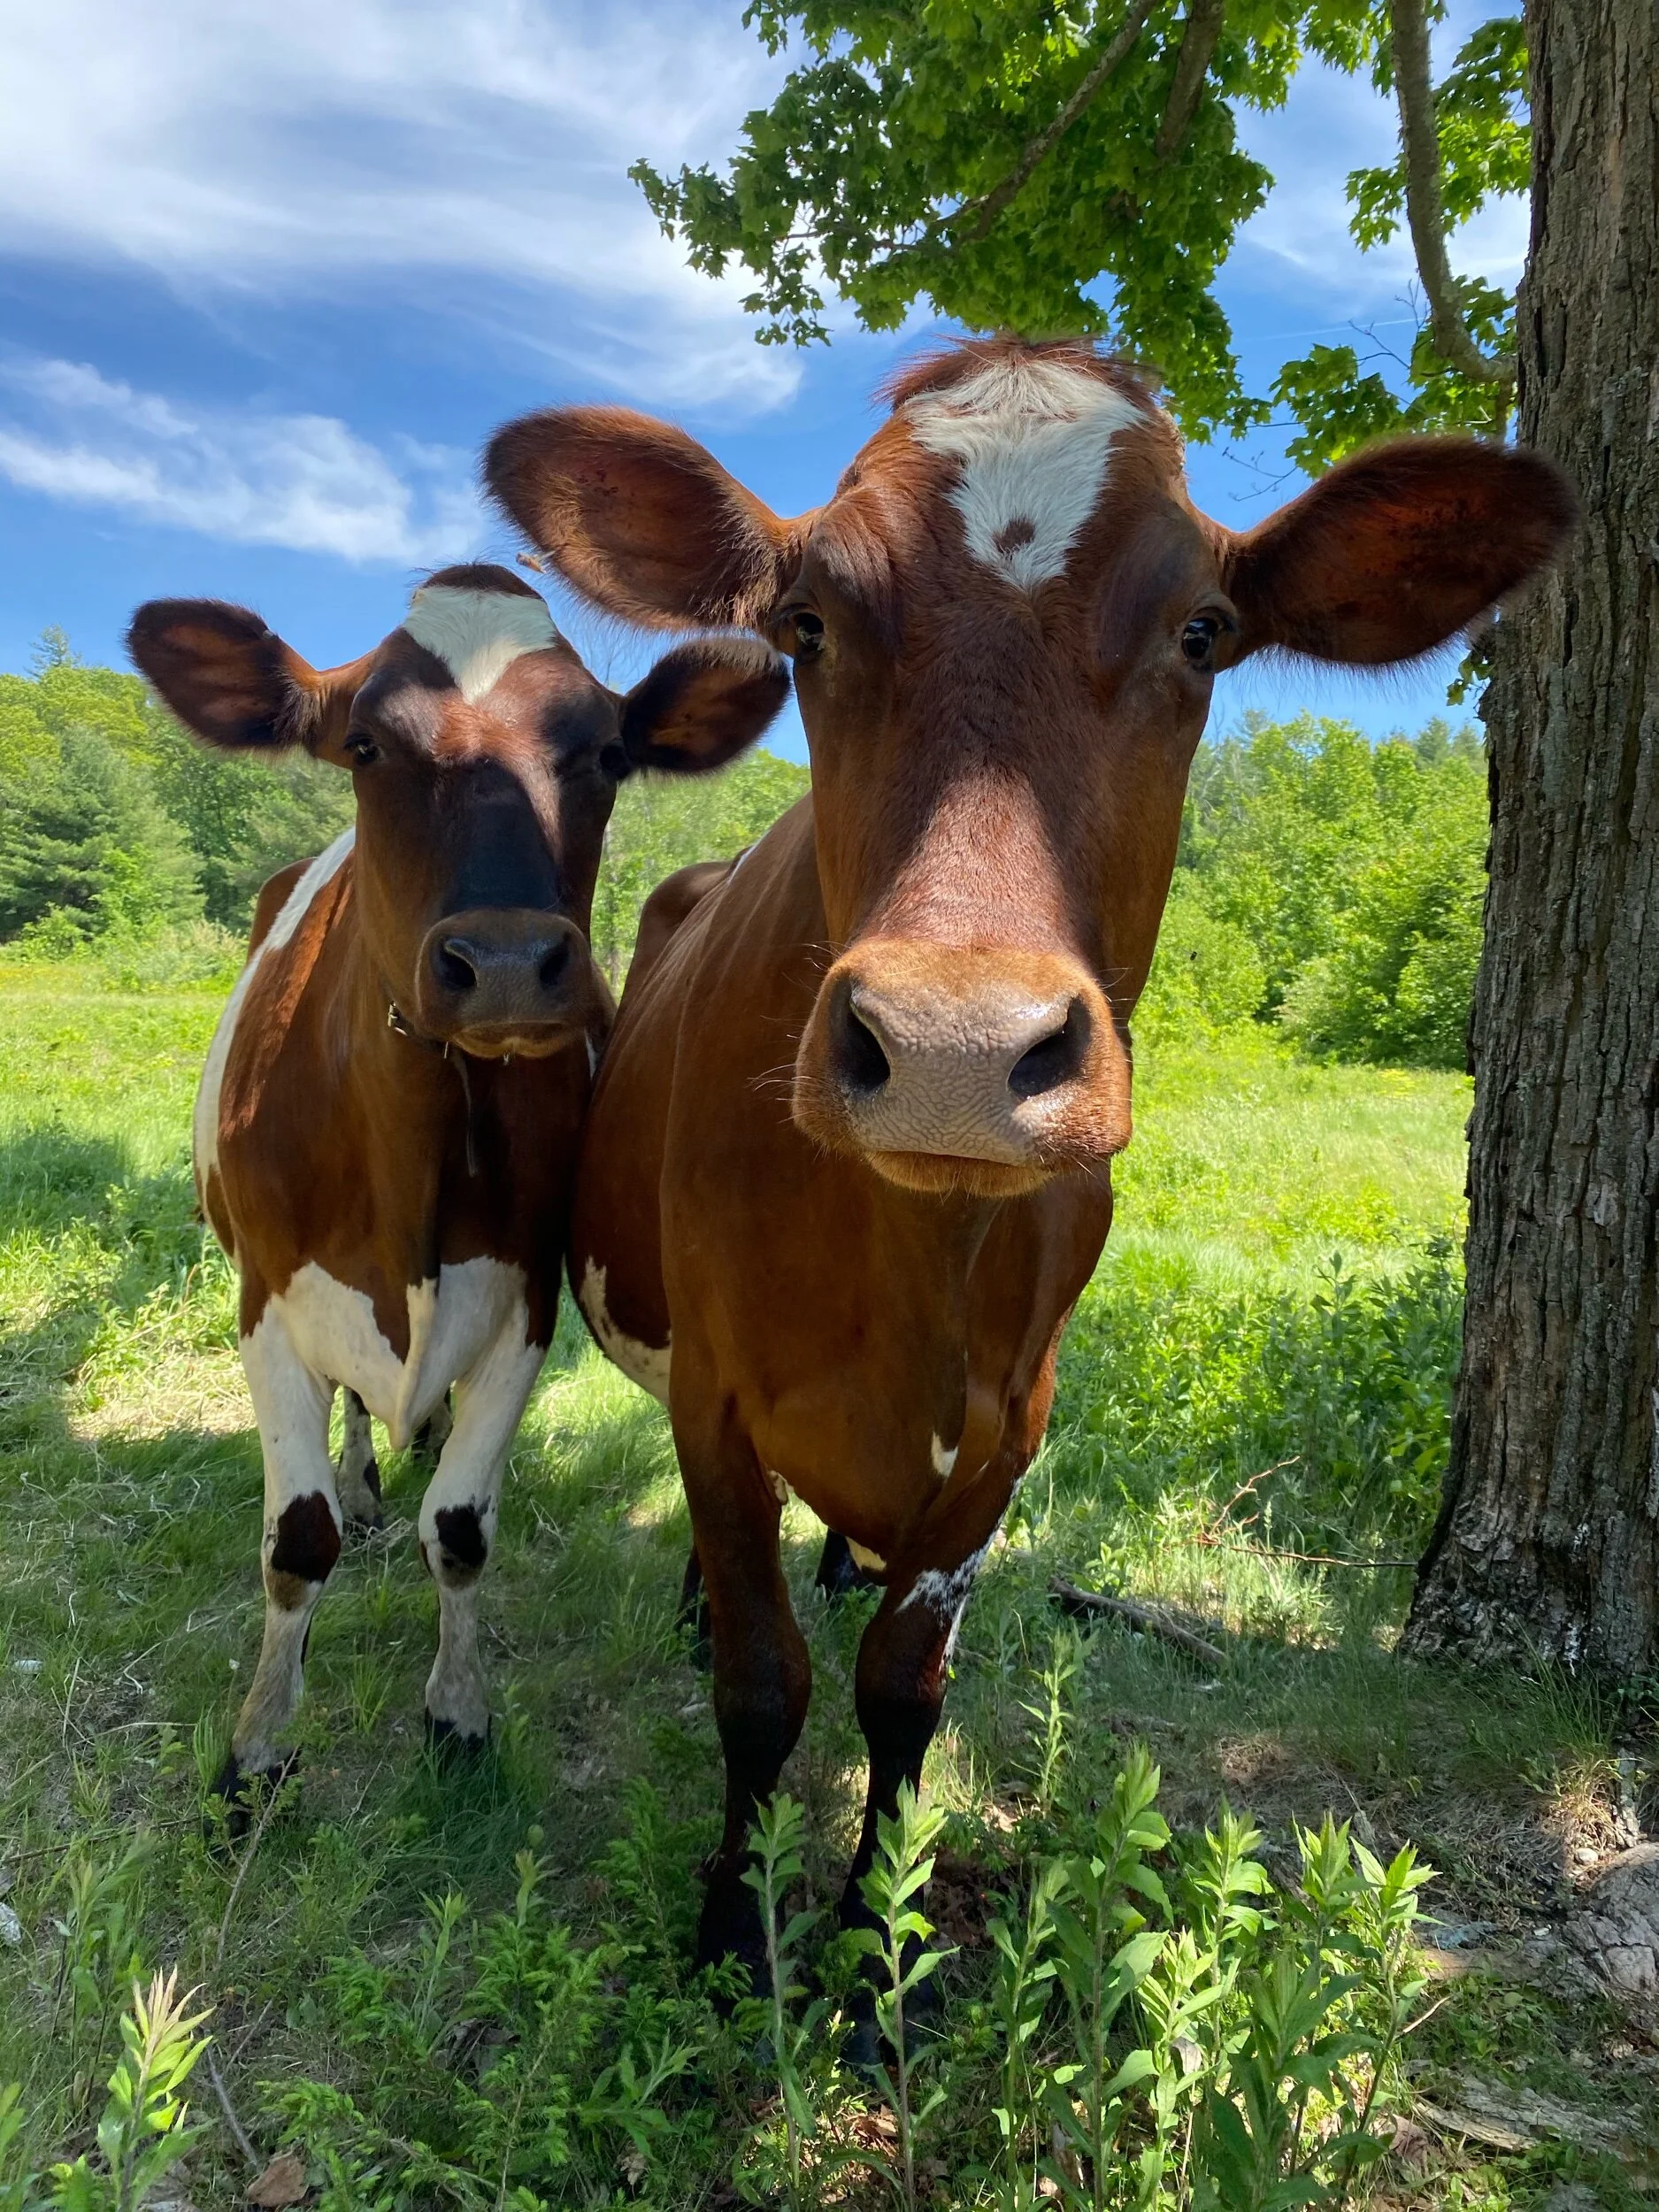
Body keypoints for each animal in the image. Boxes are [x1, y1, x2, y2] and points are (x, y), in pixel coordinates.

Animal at [127, 565, 787, 1807]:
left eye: (606, 753)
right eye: (366, 744)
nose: (509, 965)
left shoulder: (522, 1302)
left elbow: (465, 1530)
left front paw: (458, 1714)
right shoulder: (266, 1306)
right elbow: (297, 1542)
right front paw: (257, 1748)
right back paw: (366, 1479)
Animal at [482, 338, 1576, 1978]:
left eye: (1205, 630)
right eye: (806, 620)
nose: (951, 1044)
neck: (910, 1268)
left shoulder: (1008, 1433)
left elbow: (900, 1689)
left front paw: (875, 1946)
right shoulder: (718, 1399)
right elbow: (758, 1683)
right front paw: (735, 1927)